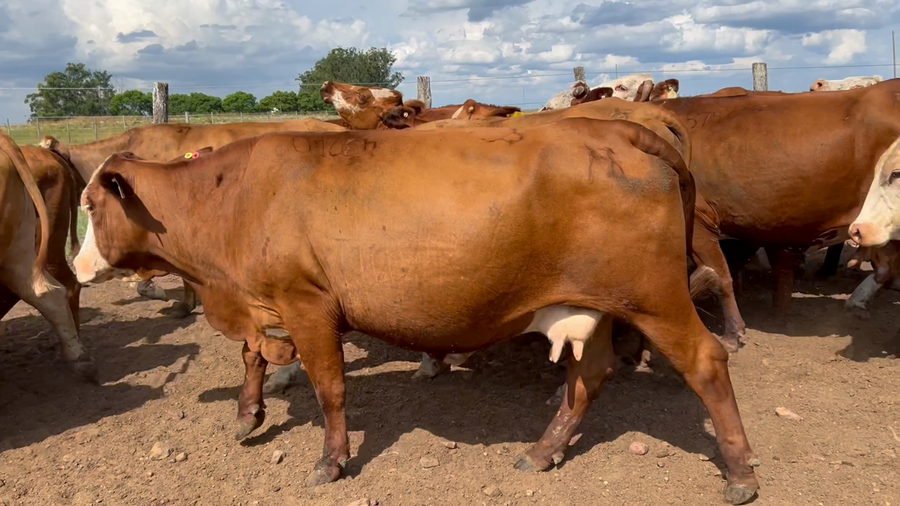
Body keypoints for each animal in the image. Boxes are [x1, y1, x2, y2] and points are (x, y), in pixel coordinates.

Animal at [73, 119, 760, 504]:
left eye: (92, 207)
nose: (76, 269)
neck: (234, 198)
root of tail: (620, 131)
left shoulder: (307, 303)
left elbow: (328, 387)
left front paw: (331, 459)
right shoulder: (262, 301)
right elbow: (253, 355)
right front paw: (248, 415)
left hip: (654, 296)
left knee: (706, 363)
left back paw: (740, 471)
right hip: (592, 306)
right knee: (587, 377)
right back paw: (542, 450)